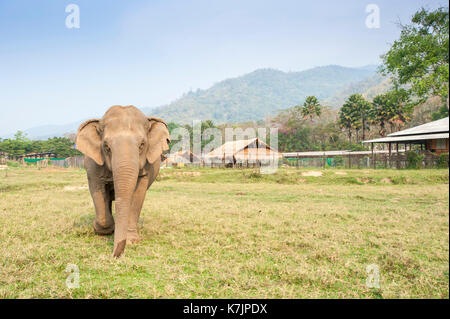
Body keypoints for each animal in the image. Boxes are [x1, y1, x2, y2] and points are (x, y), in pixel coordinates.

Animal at [75, 106, 171, 258]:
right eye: (106, 147)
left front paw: (131, 240)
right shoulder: (92, 165)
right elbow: (97, 188)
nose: (115, 256)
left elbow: (138, 195)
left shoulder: (146, 168)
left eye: (142, 145)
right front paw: (101, 230)